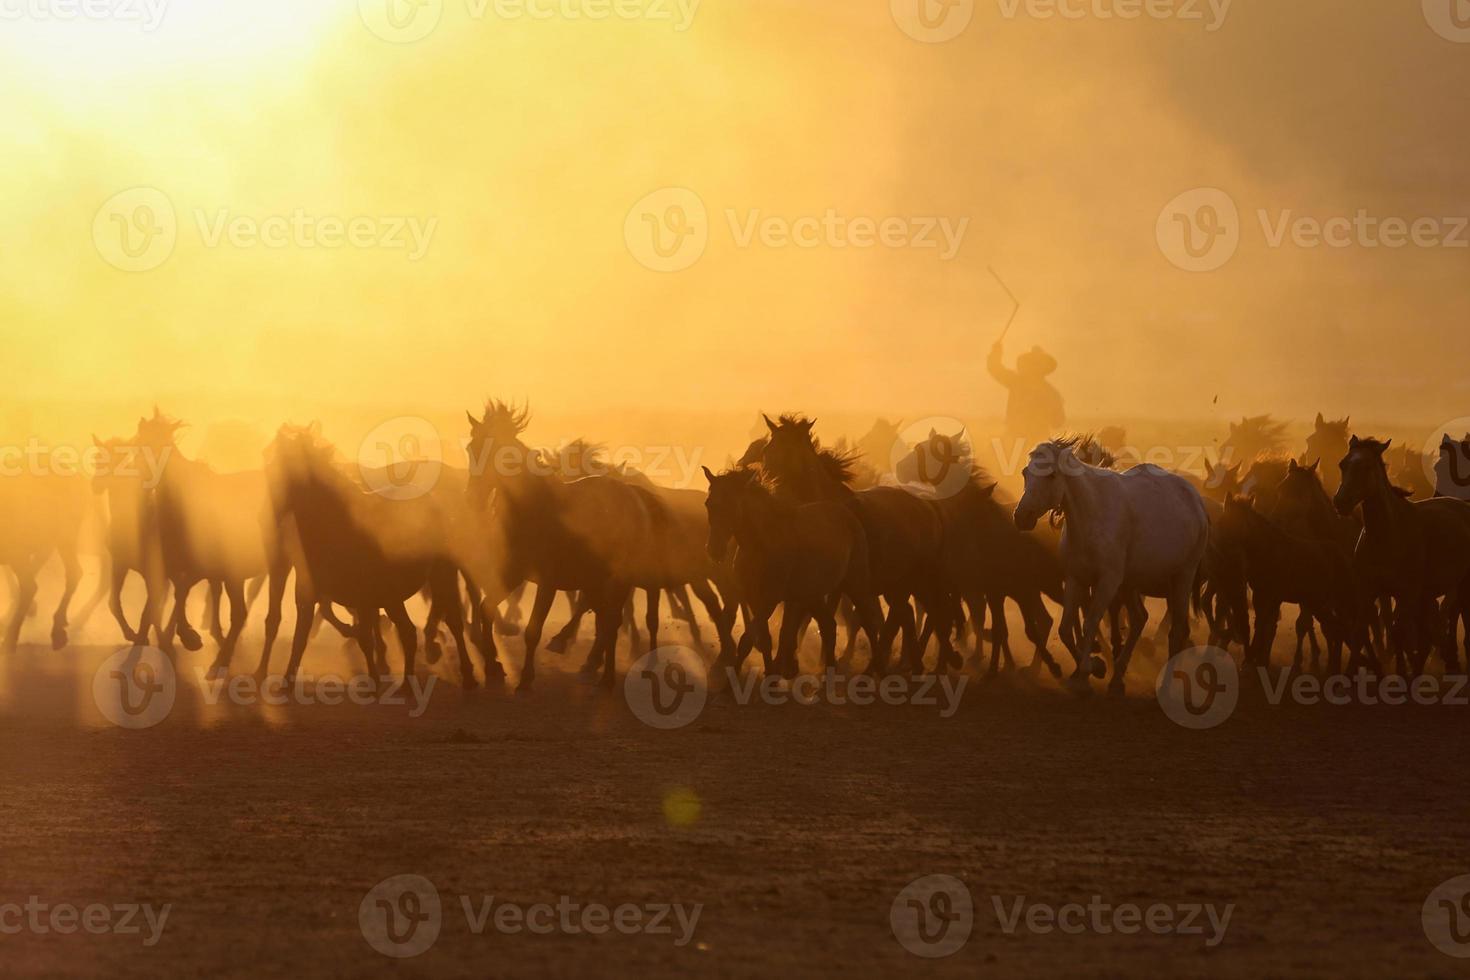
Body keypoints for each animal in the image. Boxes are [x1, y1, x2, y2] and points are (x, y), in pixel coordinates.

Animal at [461, 402, 652, 693]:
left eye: (497, 452)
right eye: (471, 448)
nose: (474, 500)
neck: (533, 511)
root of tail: (632, 493)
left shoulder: (548, 583)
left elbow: (533, 630)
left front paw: (525, 680)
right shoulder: (512, 575)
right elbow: (487, 609)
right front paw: (494, 668)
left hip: (617, 579)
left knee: (612, 621)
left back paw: (605, 676)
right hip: (594, 579)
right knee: (605, 620)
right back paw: (592, 667)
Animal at [702, 470, 882, 681]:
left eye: (733, 505)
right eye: (709, 504)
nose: (714, 550)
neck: (760, 544)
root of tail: (848, 515)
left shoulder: (770, 600)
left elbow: (748, 639)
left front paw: (734, 681)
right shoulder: (754, 598)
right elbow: (765, 639)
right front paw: (770, 675)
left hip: (855, 583)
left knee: (869, 623)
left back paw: (873, 670)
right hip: (812, 595)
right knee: (829, 626)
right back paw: (828, 672)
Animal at [1017, 437, 1211, 696]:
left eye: (1051, 475)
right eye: (1025, 473)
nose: (1021, 517)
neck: (1091, 516)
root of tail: (1197, 501)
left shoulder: (1107, 582)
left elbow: (1089, 623)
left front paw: (1085, 676)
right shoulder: (1075, 579)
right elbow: (1066, 629)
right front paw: (1094, 667)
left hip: (1181, 578)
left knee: (1178, 629)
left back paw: (1166, 683)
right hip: (1131, 584)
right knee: (1140, 619)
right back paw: (1117, 678)